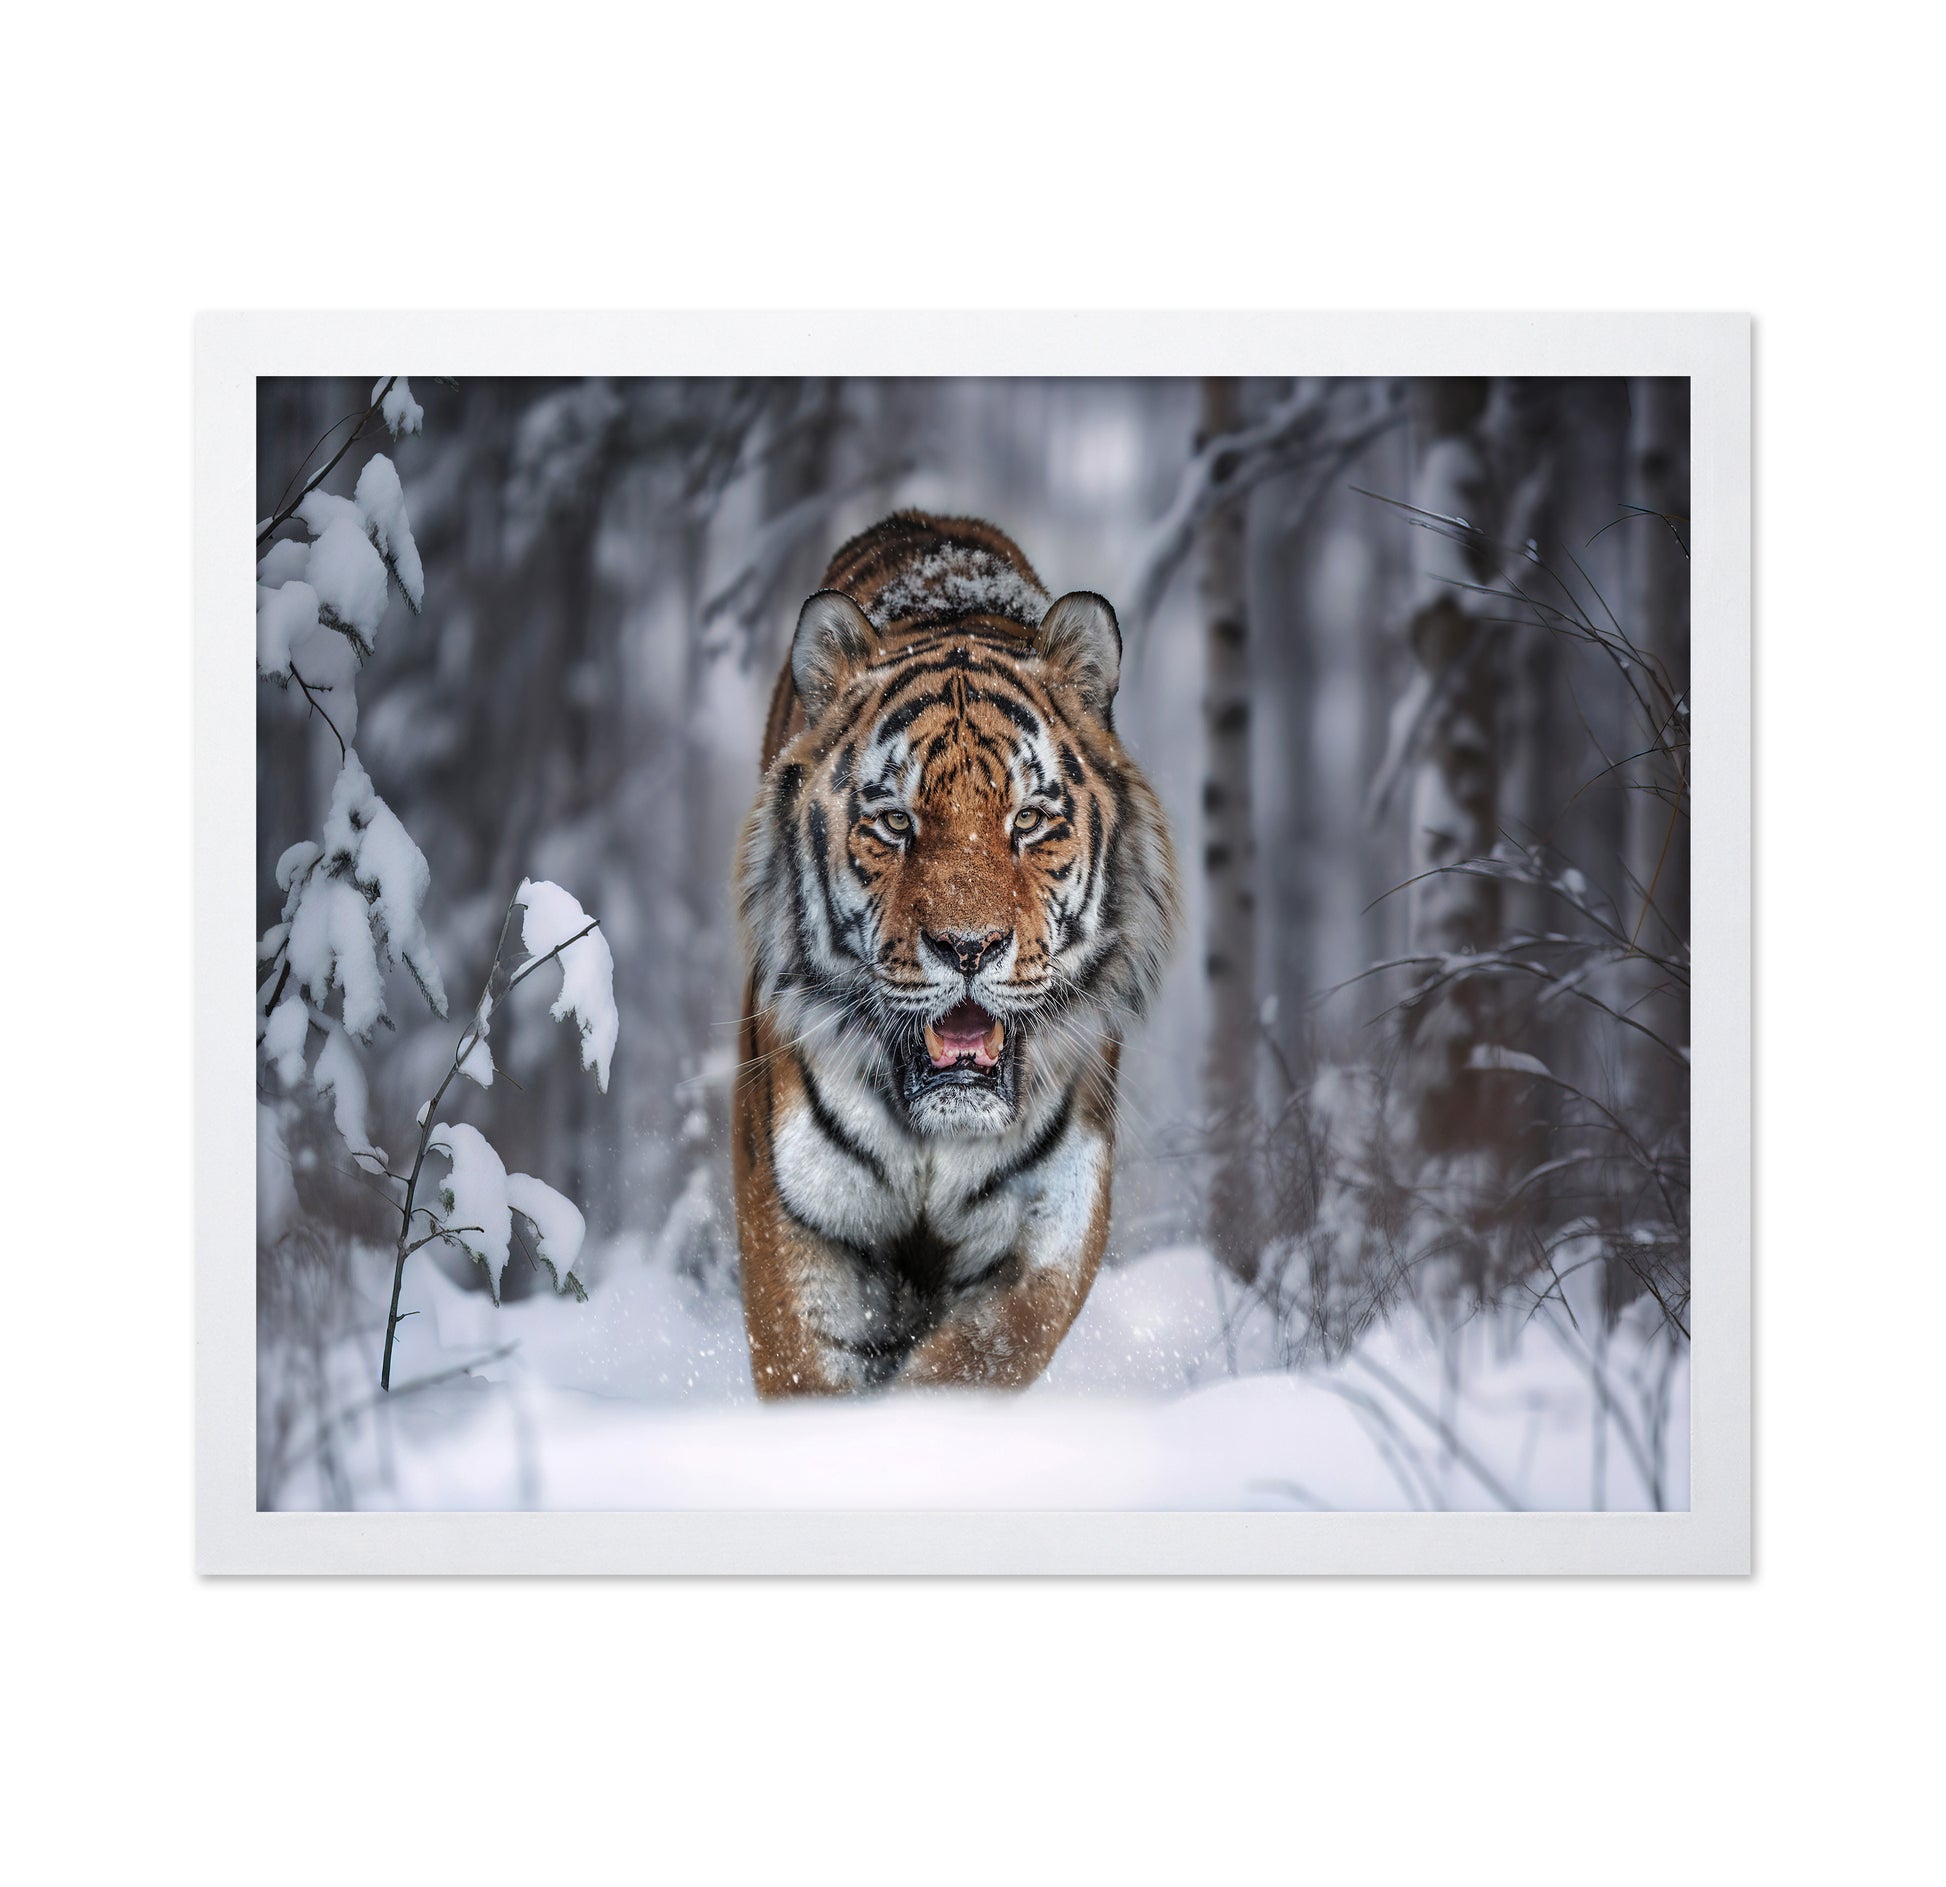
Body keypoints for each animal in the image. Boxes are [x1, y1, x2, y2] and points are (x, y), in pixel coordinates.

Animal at [732, 511, 1179, 1396]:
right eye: (895, 822)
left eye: (1029, 820)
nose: (968, 947)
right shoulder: (795, 1210)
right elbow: (806, 1372)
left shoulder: (1051, 1222)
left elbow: (971, 1364)